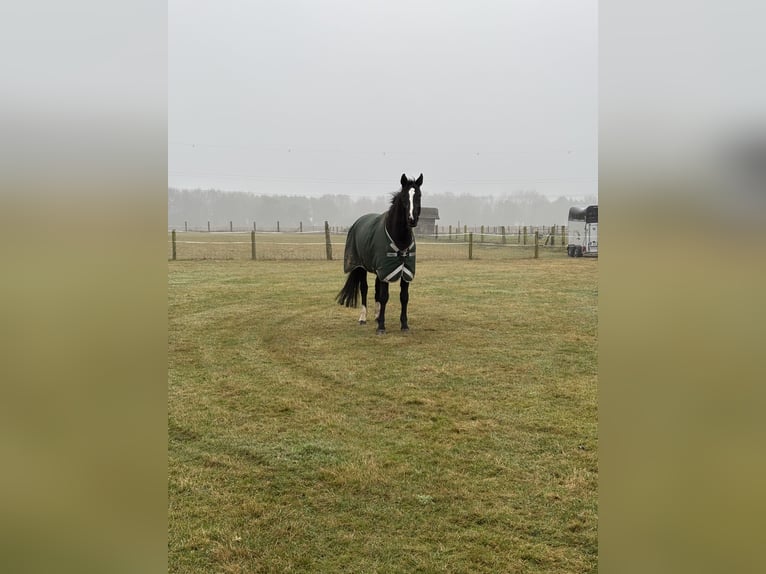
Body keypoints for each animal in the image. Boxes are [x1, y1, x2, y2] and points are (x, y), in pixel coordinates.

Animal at [336, 174, 424, 338]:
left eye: (419, 196)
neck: (399, 238)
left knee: (376, 290)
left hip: (379, 271)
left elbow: (403, 297)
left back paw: (377, 316)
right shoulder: (386, 270)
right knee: (364, 289)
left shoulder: (404, 271)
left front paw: (404, 325)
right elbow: (384, 297)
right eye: (404, 197)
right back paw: (363, 318)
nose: (412, 220)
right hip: (361, 267)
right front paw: (381, 327)